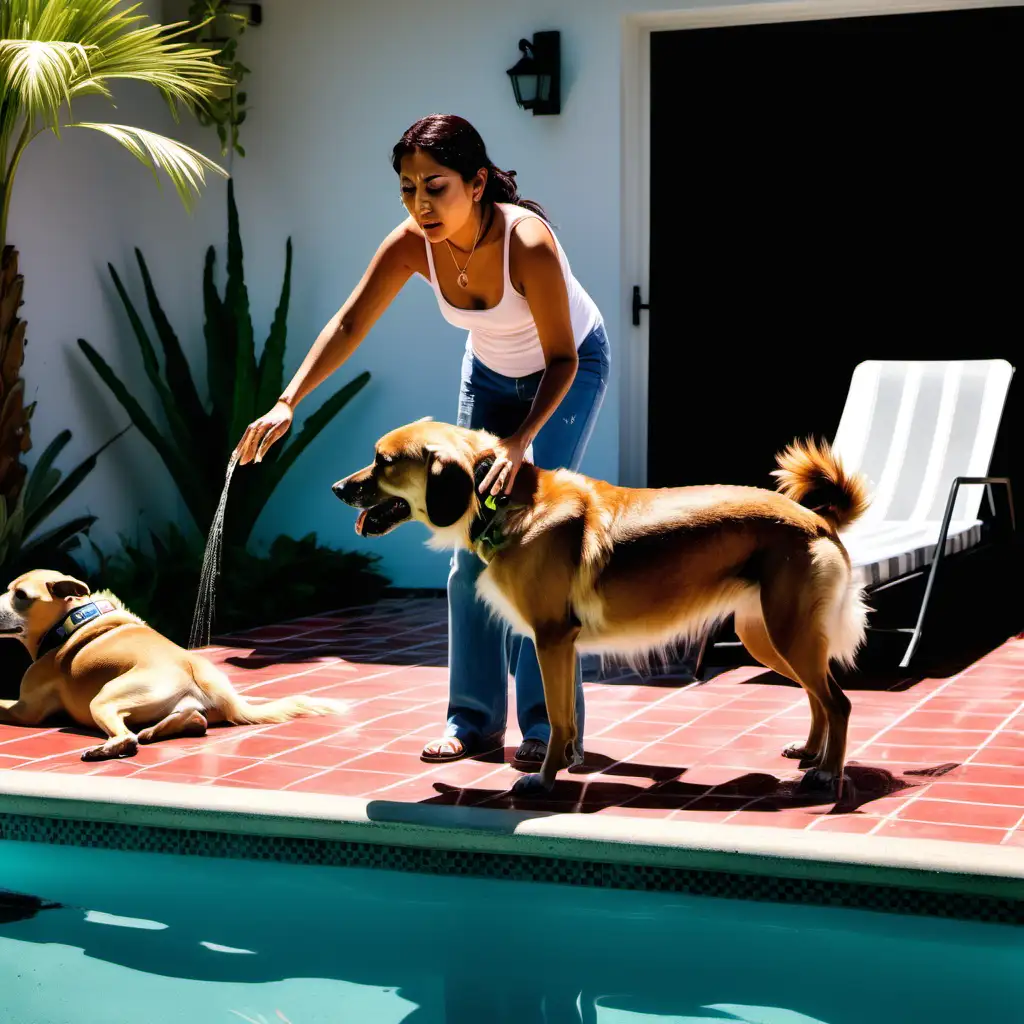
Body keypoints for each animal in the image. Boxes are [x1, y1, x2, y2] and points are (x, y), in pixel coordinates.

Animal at [0, 573, 348, 765]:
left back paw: (108, 748)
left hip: (105, 699)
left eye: (22, 595)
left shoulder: (25, 709)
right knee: (194, 720)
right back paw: (157, 731)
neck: (73, 619)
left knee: (127, 738)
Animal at [333, 415, 872, 798]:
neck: (502, 500)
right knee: (816, 696)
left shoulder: (550, 639)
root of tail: (816, 520)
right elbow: (568, 719)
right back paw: (811, 753)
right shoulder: (563, 646)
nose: (338, 488)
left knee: (838, 702)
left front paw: (543, 780)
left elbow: (556, 716)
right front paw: (568, 763)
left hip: (787, 632)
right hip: (769, 637)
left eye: (383, 460)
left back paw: (827, 775)